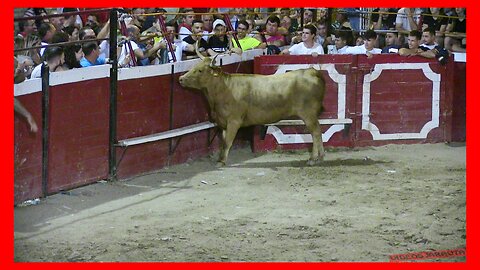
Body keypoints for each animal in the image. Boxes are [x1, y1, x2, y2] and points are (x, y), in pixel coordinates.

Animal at [178, 43, 328, 166]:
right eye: (194, 67)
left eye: (200, 70)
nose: (181, 79)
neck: (224, 88)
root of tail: (311, 71)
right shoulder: (223, 123)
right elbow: (223, 142)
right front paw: (221, 159)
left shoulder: (234, 121)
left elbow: (228, 142)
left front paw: (221, 162)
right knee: (317, 132)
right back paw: (319, 157)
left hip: (308, 114)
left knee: (315, 132)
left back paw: (313, 159)